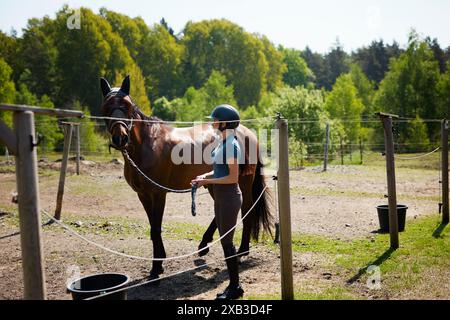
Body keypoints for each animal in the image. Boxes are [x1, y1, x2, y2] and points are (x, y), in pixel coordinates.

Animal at [100, 76, 272, 282]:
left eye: (127, 106)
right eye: (106, 107)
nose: (120, 138)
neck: (148, 145)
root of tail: (248, 133)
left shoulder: (158, 194)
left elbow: (156, 228)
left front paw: (156, 268)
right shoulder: (143, 195)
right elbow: (152, 228)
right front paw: (158, 263)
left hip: (242, 184)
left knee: (247, 211)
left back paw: (241, 251)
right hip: (214, 183)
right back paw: (204, 245)